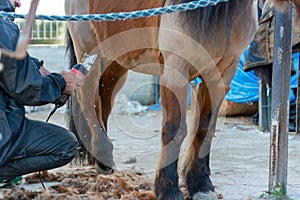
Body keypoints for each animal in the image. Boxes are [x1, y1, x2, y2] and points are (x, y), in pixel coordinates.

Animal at [64, 0, 256, 199]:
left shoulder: (220, 77)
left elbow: (205, 129)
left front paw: (201, 185)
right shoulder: (175, 72)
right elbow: (174, 129)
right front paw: (169, 189)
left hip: (114, 63)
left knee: (103, 103)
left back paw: (100, 157)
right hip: (90, 54)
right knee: (87, 98)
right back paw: (103, 155)